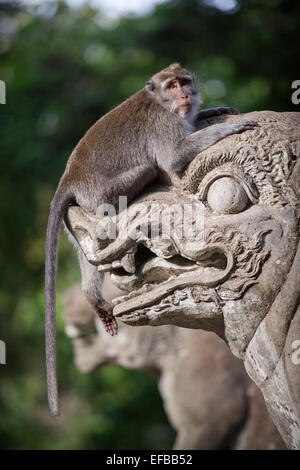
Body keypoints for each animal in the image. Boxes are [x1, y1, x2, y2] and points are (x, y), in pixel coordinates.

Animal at [45, 63, 256, 414]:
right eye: (171, 85)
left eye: (184, 82)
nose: (185, 94)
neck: (161, 103)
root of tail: (69, 177)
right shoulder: (163, 124)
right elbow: (174, 154)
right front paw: (232, 126)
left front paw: (214, 111)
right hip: (103, 197)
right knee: (149, 168)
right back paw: (162, 178)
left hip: (79, 212)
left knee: (86, 253)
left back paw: (92, 296)